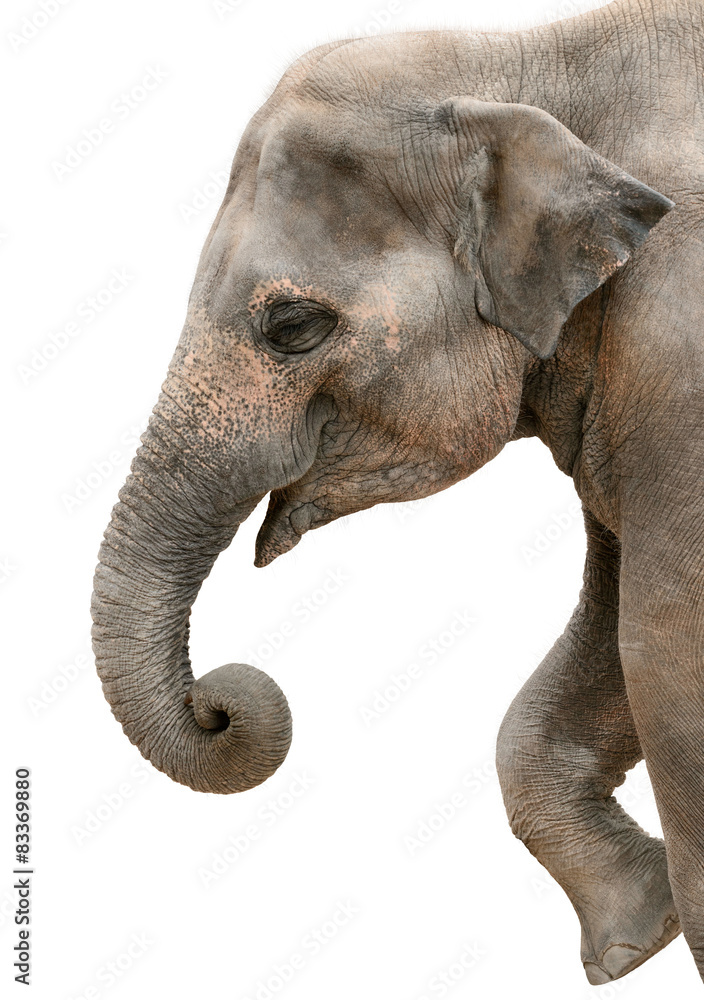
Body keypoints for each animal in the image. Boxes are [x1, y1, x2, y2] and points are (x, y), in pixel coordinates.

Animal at [91, 0, 704, 986]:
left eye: (292, 326)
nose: (217, 702)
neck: (531, 62)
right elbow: (623, 629)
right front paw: (634, 945)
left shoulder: (681, 355)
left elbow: (665, 647)